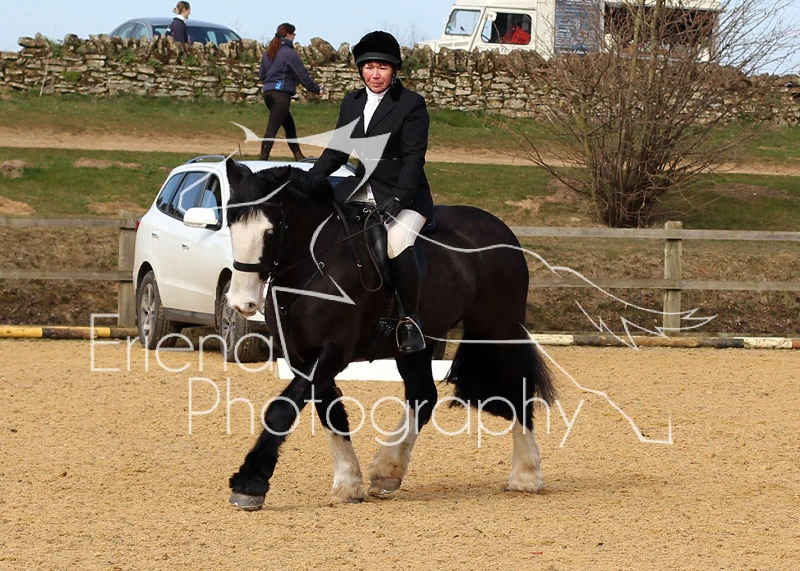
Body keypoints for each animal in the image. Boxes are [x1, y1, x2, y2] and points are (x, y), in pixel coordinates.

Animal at [223, 158, 556, 509]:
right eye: (231, 225)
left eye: (270, 231)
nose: (241, 302)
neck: (315, 266)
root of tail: (501, 228)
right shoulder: (303, 356)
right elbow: (330, 411)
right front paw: (348, 483)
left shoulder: (332, 351)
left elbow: (282, 409)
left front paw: (249, 483)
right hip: (417, 344)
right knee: (423, 395)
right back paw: (387, 470)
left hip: (499, 328)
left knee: (518, 387)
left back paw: (526, 475)